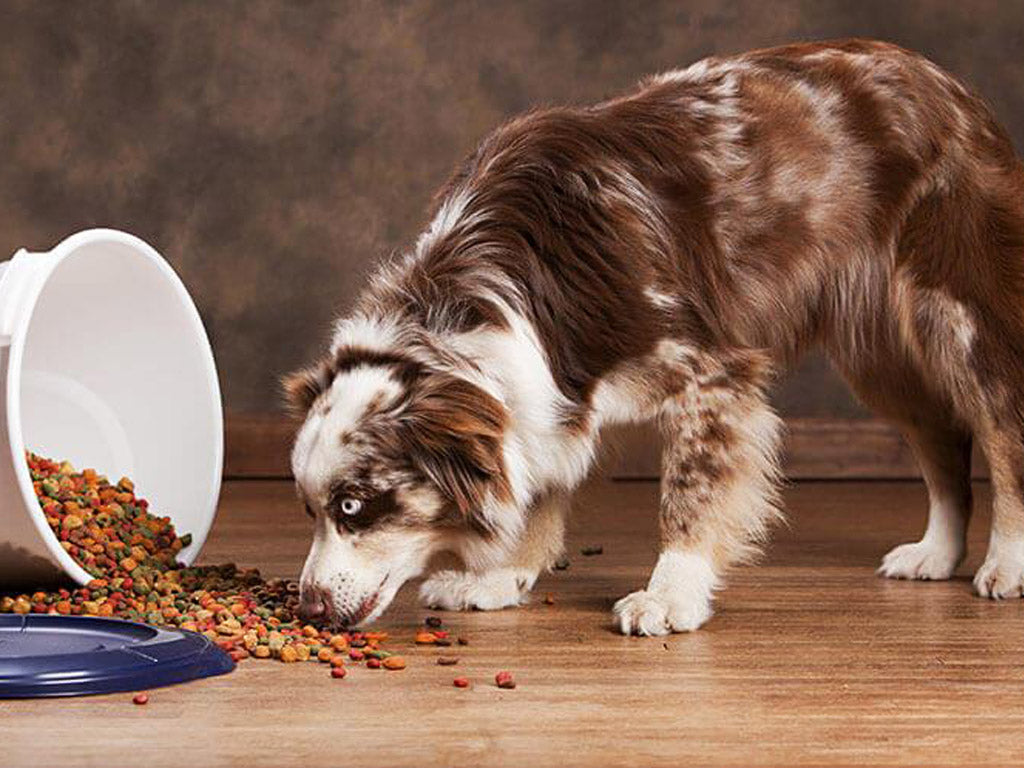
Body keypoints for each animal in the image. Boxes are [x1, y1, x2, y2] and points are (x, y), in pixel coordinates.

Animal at [284, 39, 1024, 634]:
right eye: (309, 509)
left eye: (353, 505)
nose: (309, 609)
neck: (481, 301)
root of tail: (950, 85)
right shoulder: (543, 393)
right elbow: (538, 487)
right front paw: (499, 578)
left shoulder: (712, 375)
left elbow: (688, 499)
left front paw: (671, 596)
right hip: (878, 357)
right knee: (943, 439)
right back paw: (936, 553)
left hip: (960, 319)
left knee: (1001, 431)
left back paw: (1007, 563)